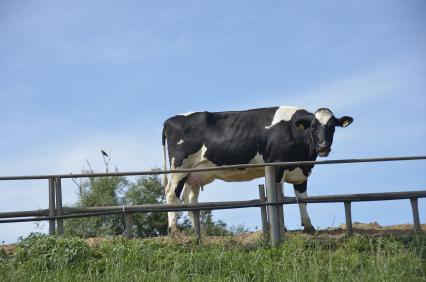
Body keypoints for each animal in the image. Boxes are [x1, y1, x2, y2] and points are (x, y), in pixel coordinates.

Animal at [161, 106, 354, 234]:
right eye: (313, 127)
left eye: (332, 127)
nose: (323, 146)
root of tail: (170, 120)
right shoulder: (275, 166)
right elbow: (278, 198)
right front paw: (281, 228)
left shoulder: (301, 172)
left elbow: (302, 199)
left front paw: (308, 227)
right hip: (179, 167)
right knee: (171, 193)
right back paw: (174, 229)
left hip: (195, 174)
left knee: (190, 199)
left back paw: (198, 232)